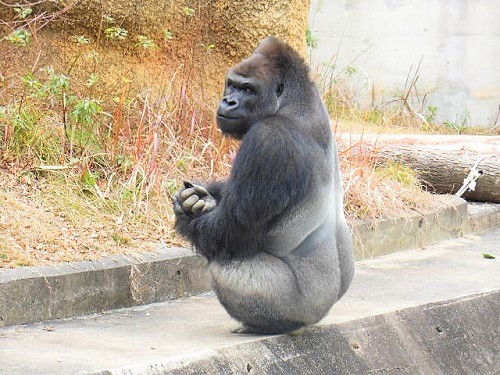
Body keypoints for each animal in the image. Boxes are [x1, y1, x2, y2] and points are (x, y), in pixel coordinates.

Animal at [174, 35, 354, 334]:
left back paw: (261, 326)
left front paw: (186, 217)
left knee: (226, 263)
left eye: (248, 89)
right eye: (232, 84)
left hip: (296, 309)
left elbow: (231, 230)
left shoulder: (269, 140)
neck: (294, 103)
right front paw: (205, 197)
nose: (228, 101)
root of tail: (322, 313)